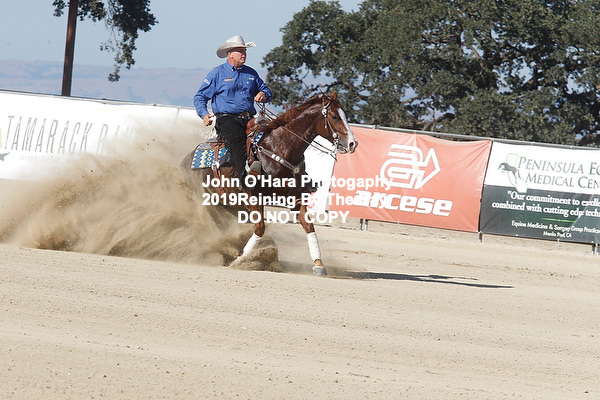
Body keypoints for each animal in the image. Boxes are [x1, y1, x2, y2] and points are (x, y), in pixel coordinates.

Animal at [181, 91, 358, 276]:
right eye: (335, 116)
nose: (353, 143)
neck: (280, 150)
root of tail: (185, 161)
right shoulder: (253, 197)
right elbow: (260, 228)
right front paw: (241, 259)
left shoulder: (296, 199)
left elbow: (309, 226)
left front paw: (318, 264)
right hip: (207, 203)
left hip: (227, 204)